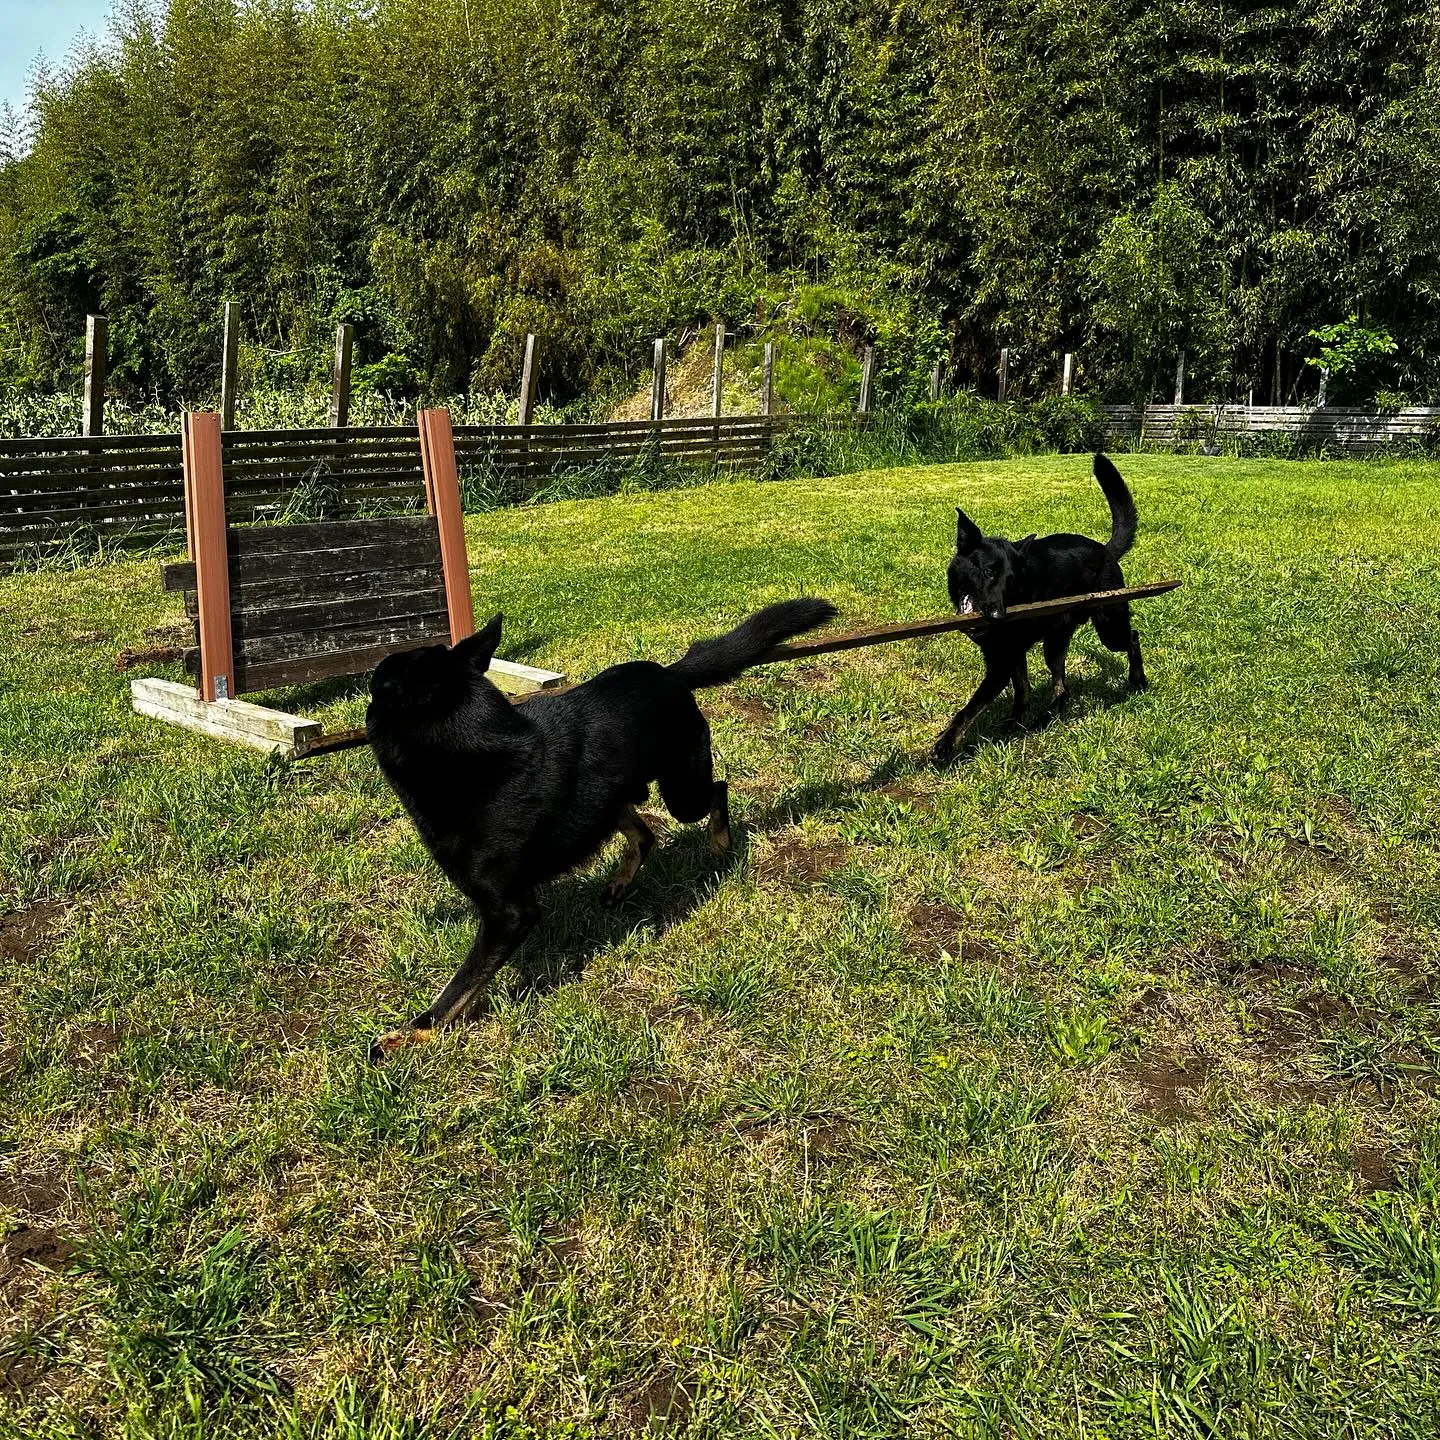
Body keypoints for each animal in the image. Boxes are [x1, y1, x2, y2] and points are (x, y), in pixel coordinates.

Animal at [362, 596, 835, 1059]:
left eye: (378, 686)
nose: (368, 682)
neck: (475, 758)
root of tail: (670, 672)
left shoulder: (508, 913)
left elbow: (458, 986)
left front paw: (411, 1034)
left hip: (682, 793)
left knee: (716, 791)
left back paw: (720, 846)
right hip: (610, 797)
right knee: (645, 835)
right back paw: (620, 883)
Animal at [933, 452, 1146, 771]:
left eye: (1012, 583)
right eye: (988, 572)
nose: (998, 616)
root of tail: (1106, 551)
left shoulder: (1000, 664)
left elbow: (969, 709)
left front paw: (946, 745)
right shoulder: (1011, 654)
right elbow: (1023, 691)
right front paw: (1013, 725)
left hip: (1108, 626)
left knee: (1132, 636)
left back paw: (1138, 681)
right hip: (1055, 642)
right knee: (1062, 688)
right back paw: (1045, 717)